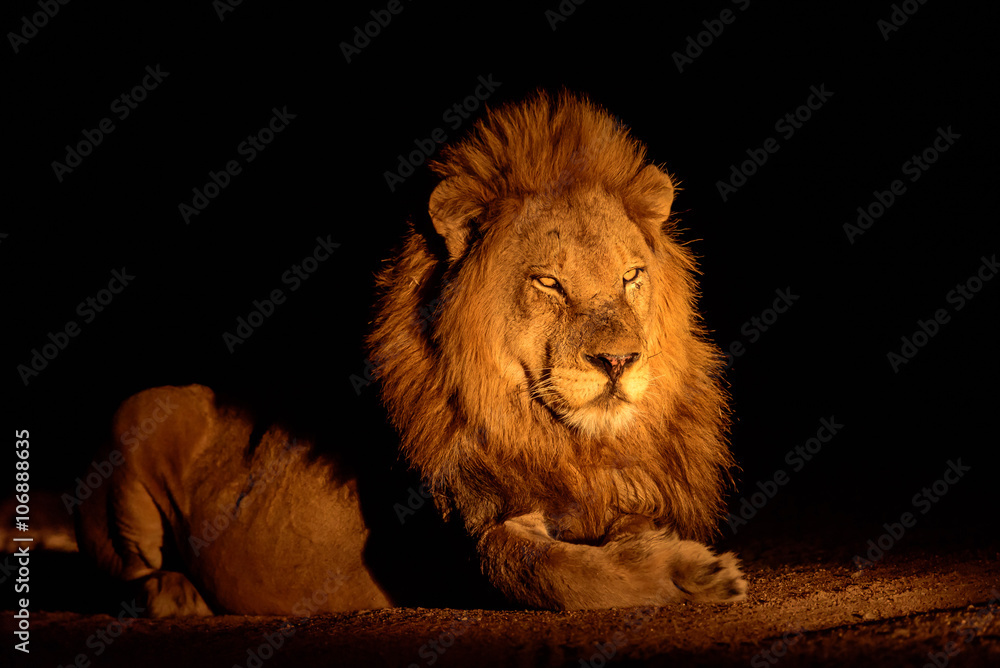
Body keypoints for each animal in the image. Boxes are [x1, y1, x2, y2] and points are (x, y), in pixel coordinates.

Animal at [74, 91, 744, 616]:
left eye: (631, 276)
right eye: (549, 283)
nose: (619, 362)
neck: (555, 437)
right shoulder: (446, 544)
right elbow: (550, 574)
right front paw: (695, 575)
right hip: (142, 414)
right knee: (121, 574)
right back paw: (175, 594)